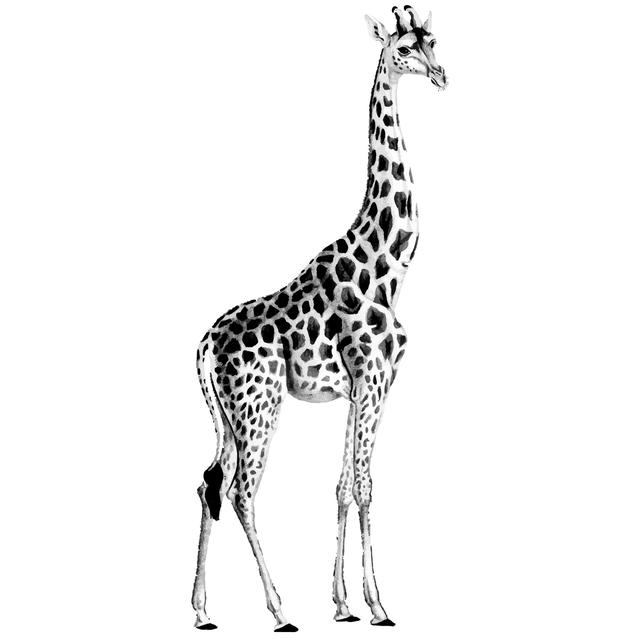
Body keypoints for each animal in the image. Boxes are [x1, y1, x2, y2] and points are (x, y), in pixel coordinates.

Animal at [191, 6, 447, 632]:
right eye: (403, 49)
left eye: (433, 41)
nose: (441, 75)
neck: (389, 266)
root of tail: (204, 346)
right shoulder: (375, 381)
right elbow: (366, 485)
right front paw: (380, 606)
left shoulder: (358, 390)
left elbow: (341, 487)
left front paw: (343, 604)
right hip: (259, 407)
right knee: (241, 491)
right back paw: (280, 610)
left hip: (227, 416)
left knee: (209, 482)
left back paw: (203, 611)